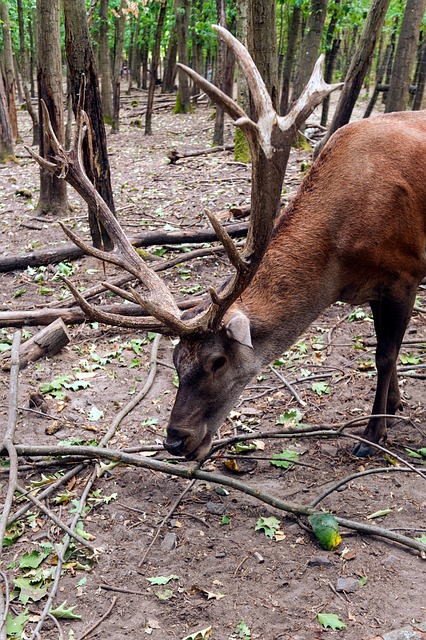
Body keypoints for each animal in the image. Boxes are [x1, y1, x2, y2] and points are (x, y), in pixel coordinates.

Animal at [27, 27, 426, 462]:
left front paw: (373, 435)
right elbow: (388, 351)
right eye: (174, 360)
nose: (174, 440)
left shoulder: (405, 273)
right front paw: (395, 406)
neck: (340, 267)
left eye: (217, 361)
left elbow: (385, 355)